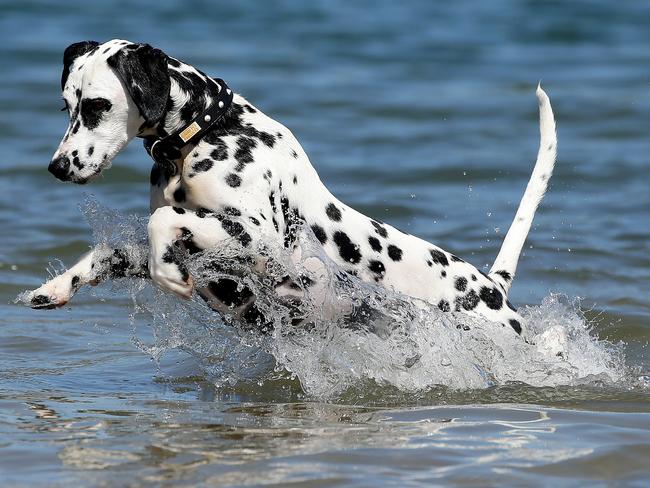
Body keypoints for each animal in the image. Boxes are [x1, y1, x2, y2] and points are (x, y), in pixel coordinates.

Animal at [24, 39, 552, 340]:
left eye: (97, 105)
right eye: (66, 104)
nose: (56, 167)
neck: (211, 132)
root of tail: (492, 288)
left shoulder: (261, 238)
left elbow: (162, 222)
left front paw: (168, 275)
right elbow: (111, 252)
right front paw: (53, 288)